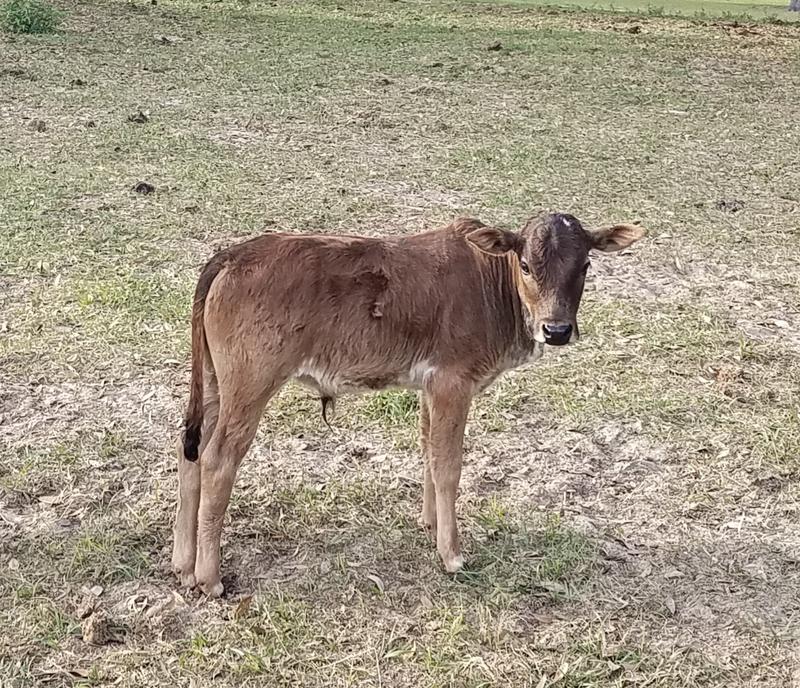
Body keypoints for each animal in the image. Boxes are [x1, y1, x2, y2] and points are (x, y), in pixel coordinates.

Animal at [171, 212, 645, 597]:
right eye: (526, 265)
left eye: (585, 265)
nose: (557, 329)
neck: (490, 284)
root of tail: (232, 255)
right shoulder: (453, 383)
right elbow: (448, 465)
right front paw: (452, 554)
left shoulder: (430, 388)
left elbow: (428, 453)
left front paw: (431, 524)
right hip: (250, 385)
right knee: (217, 458)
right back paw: (209, 577)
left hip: (214, 383)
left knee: (190, 450)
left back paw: (183, 563)